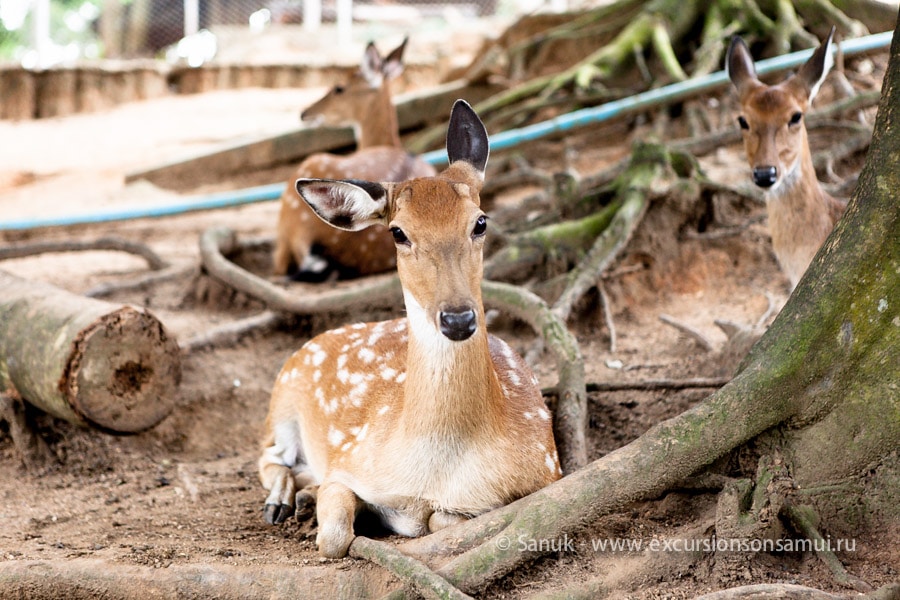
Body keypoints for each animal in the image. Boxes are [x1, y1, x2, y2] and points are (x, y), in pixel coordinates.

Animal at [256, 99, 560, 556]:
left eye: (481, 222)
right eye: (399, 232)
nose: (457, 318)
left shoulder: (548, 472)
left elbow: (441, 518)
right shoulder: (349, 463)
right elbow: (333, 537)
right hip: (282, 399)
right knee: (268, 456)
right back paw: (282, 501)